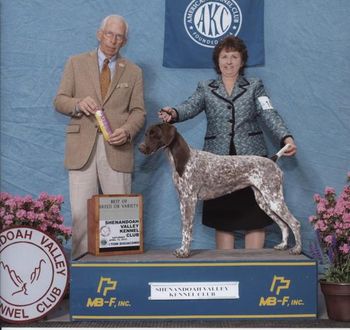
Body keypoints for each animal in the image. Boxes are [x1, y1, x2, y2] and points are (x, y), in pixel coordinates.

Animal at [138, 122, 302, 256]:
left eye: (154, 134)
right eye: (146, 134)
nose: (140, 147)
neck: (183, 160)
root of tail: (272, 160)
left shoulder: (189, 199)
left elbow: (187, 229)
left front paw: (184, 251)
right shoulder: (182, 201)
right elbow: (184, 227)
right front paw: (182, 249)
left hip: (274, 199)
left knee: (294, 223)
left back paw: (297, 249)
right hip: (264, 202)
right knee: (284, 225)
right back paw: (283, 245)